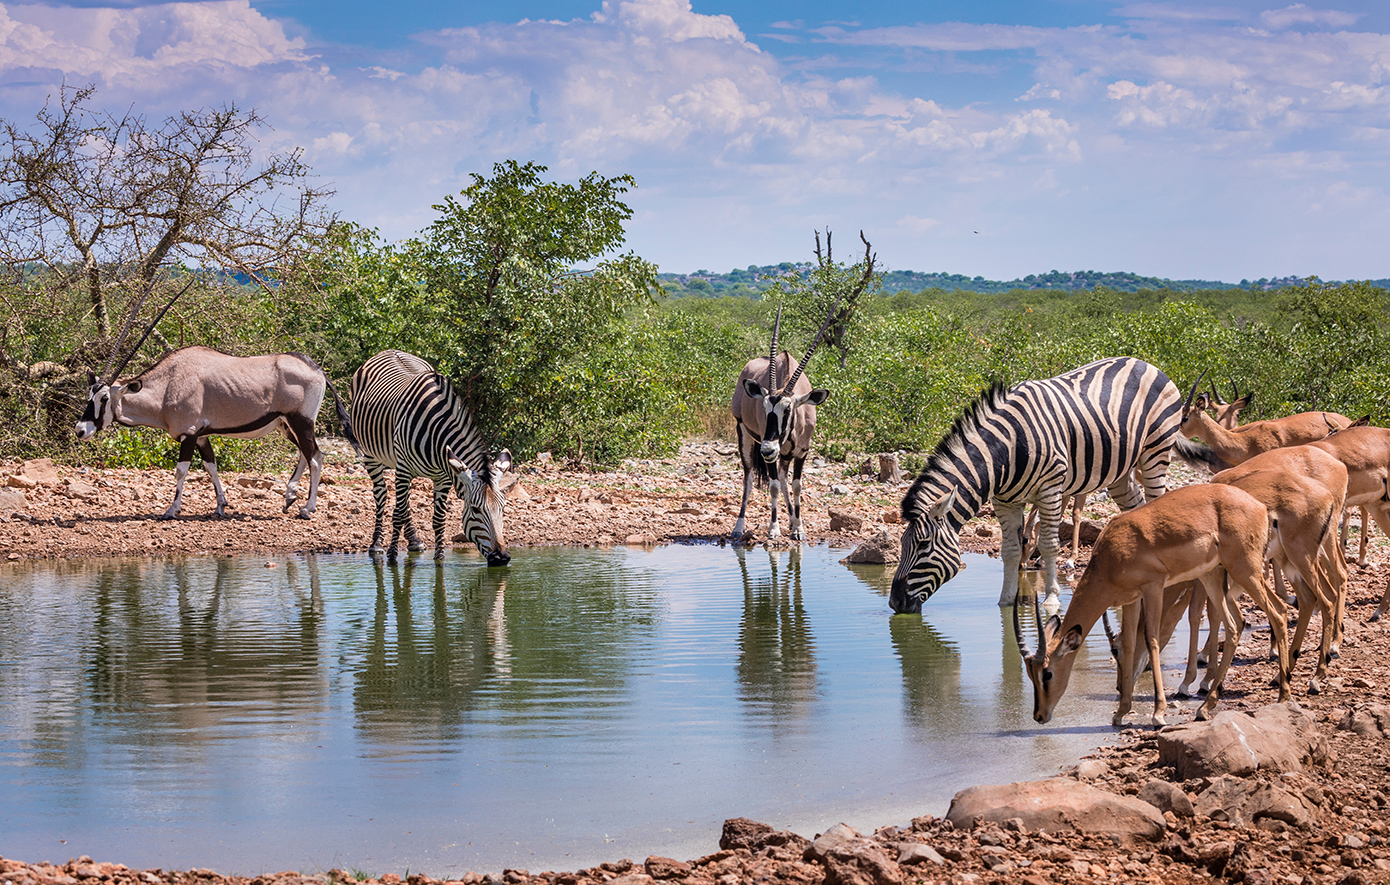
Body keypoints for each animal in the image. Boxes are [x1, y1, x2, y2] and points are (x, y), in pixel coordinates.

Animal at [350, 348, 514, 561]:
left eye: (503, 508)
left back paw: (413, 540)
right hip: (372, 455)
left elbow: (438, 519)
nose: (502, 558)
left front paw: (439, 558)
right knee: (381, 494)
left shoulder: (443, 477)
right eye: (475, 509)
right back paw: (376, 543)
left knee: (405, 501)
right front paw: (392, 557)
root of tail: (388, 350)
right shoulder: (404, 468)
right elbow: (398, 514)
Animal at [889, 355, 1217, 611]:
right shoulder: (1004, 500)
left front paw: (1051, 599)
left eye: (923, 545)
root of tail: (1146, 363)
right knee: (1135, 508)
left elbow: (1048, 545)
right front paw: (1006, 600)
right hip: (1120, 473)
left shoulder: (1049, 488)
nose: (895, 603)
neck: (1007, 450)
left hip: (1155, 452)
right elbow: (1009, 550)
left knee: (1157, 499)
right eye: (902, 545)